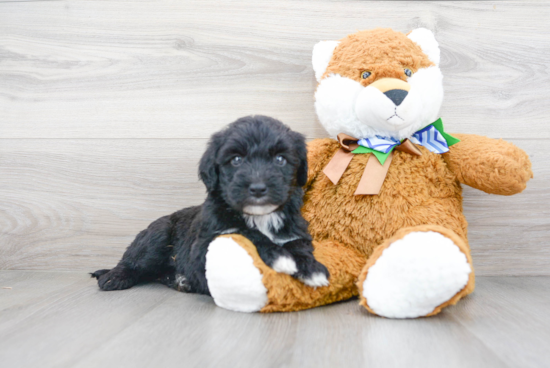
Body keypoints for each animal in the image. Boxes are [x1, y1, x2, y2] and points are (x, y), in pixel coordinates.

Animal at [92, 116, 330, 294]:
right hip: (158, 234)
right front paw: (281, 257)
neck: (260, 216)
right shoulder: (205, 246)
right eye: (236, 160)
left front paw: (312, 268)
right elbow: (246, 232)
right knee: (134, 261)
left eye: (280, 159)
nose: (258, 188)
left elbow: (298, 246)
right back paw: (114, 277)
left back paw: (179, 279)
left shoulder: (296, 232)